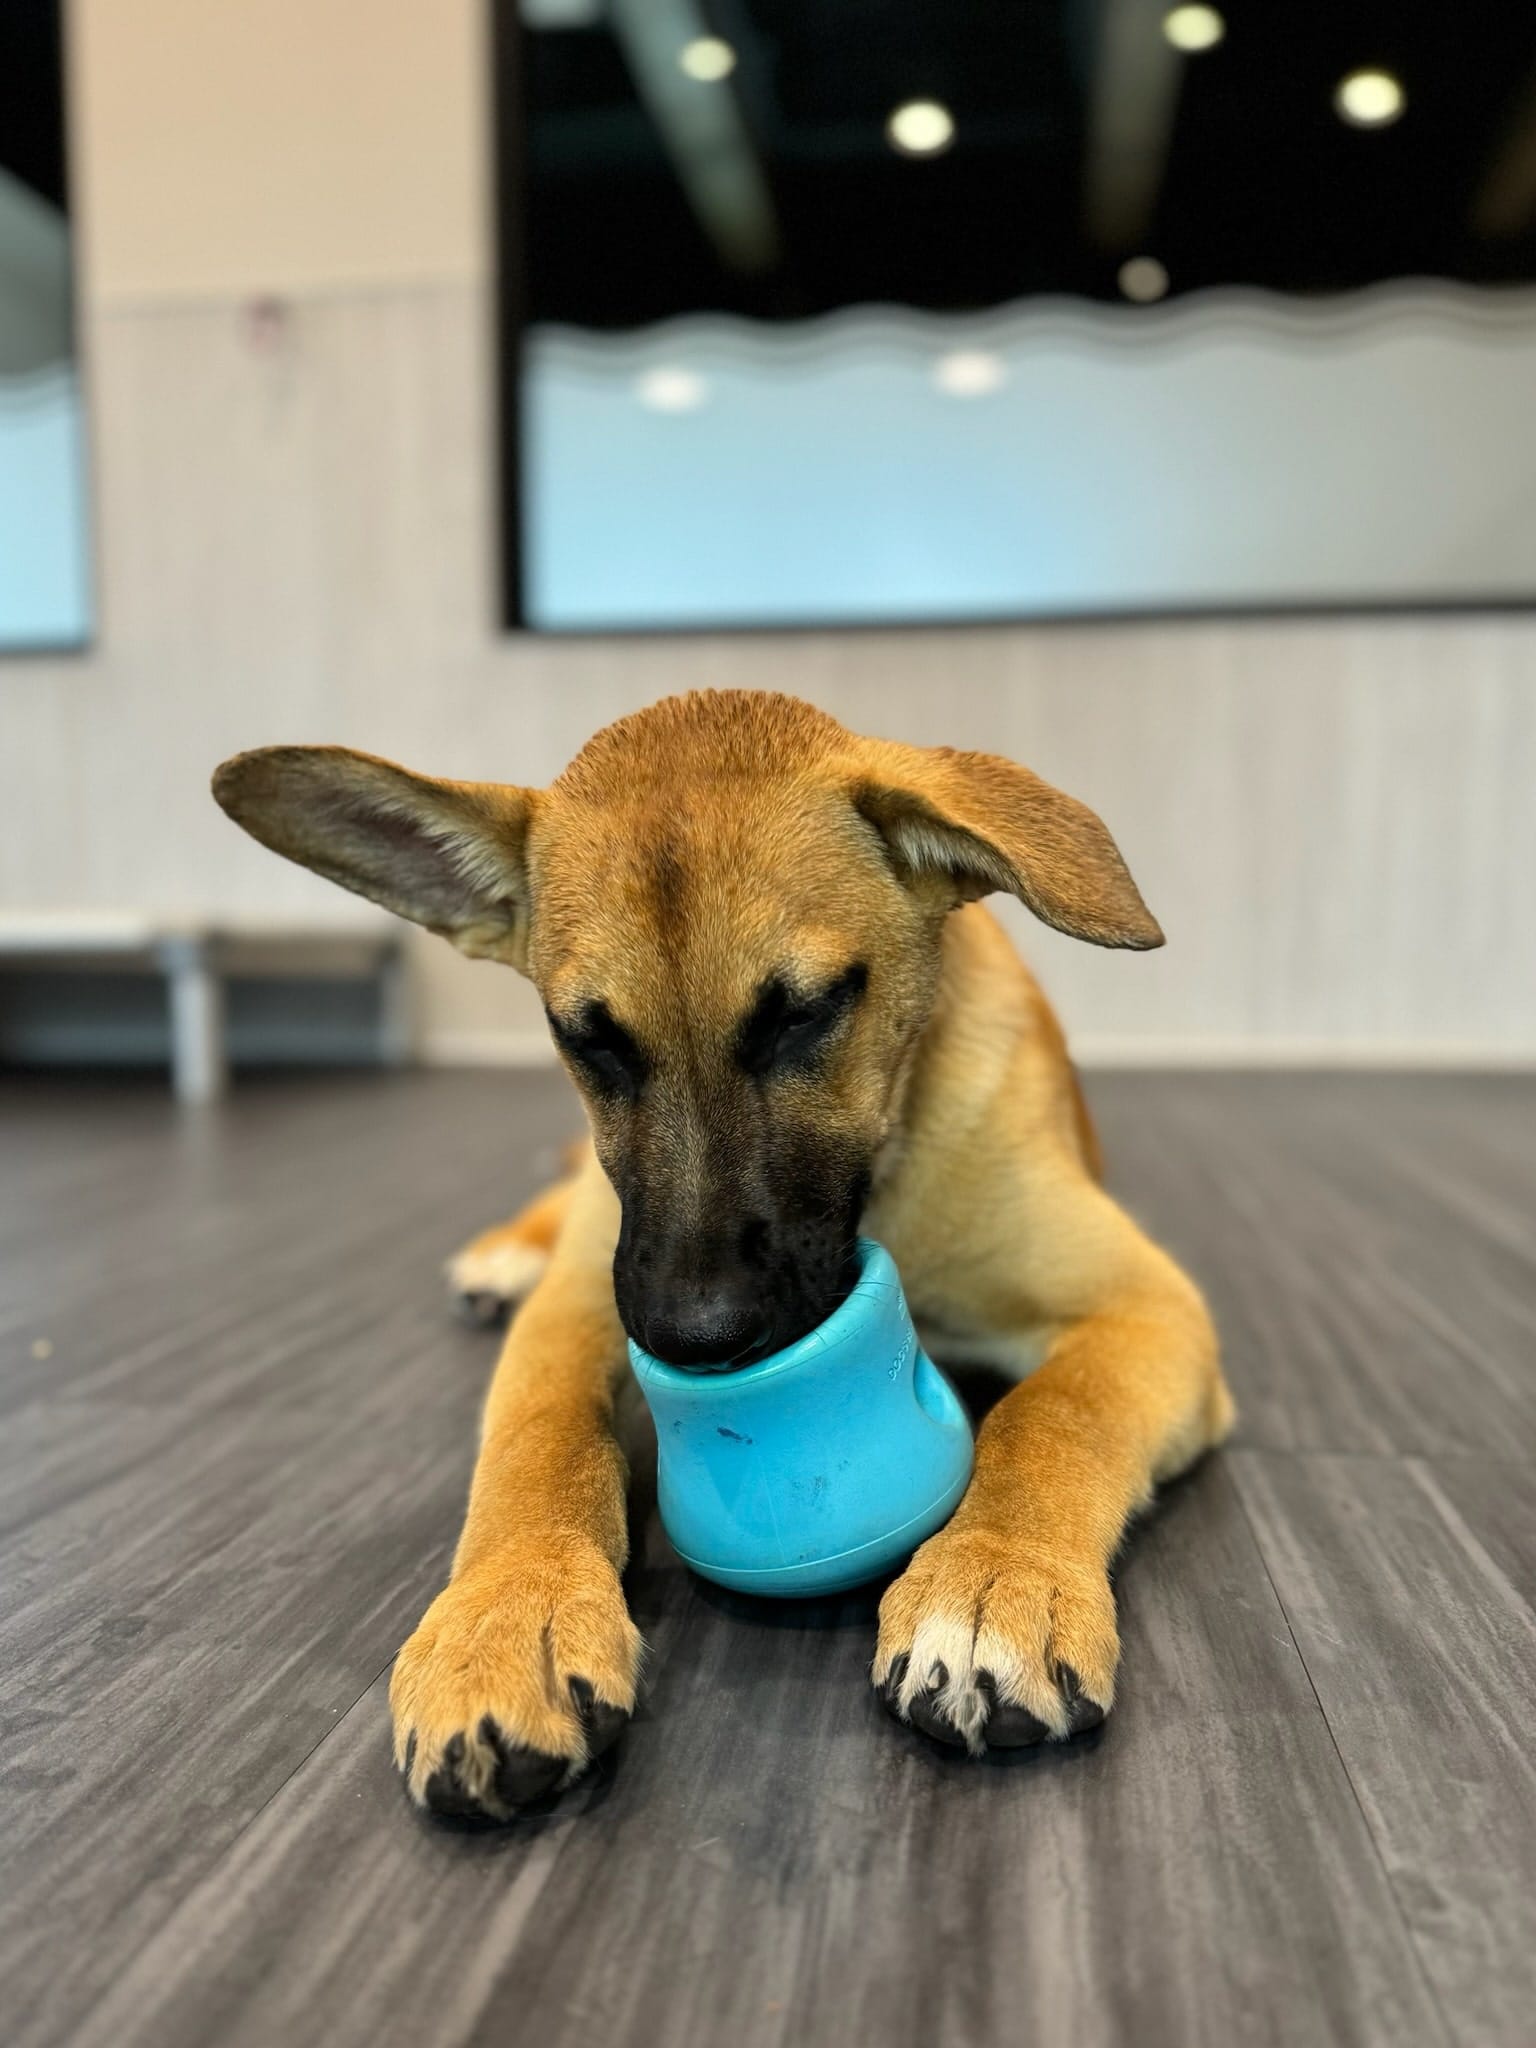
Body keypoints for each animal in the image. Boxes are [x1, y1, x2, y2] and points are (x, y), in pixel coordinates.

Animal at [213, 689, 1232, 1820]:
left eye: (808, 1011)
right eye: (588, 1038)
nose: (696, 1338)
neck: (882, 1170)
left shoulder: (1145, 1302)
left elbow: (1054, 1415)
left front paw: (995, 1576)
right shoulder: (583, 1304)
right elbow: (534, 1440)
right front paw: (504, 1617)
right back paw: (502, 1252)